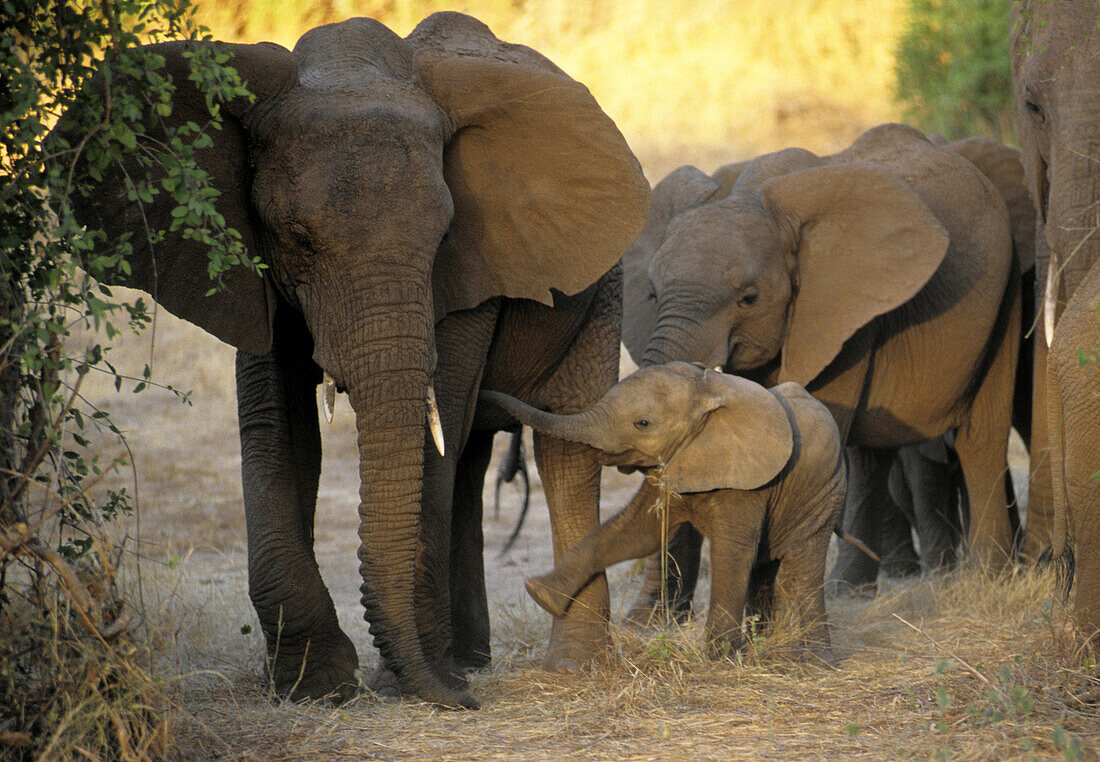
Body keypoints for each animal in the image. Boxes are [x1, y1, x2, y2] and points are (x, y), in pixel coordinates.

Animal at [55, 10, 646, 708]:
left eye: (441, 236)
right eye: (298, 239)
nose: (466, 704)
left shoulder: (468, 270)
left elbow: (435, 425)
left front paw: (414, 679)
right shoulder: (251, 268)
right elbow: (279, 432)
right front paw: (315, 685)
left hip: (606, 285)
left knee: (563, 448)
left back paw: (564, 666)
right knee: (472, 456)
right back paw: (471, 659)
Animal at [481, 362, 840, 659]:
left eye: (643, 423)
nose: (485, 393)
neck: (706, 389)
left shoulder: (748, 481)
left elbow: (732, 551)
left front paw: (717, 657)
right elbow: (637, 533)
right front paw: (541, 593)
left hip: (824, 495)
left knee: (801, 569)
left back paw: (812, 657)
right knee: (765, 571)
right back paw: (764, 643)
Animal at [620, 123, 1020, 611]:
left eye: (749, 298)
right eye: (652, 294)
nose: (646, 616)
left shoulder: (840, 310)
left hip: (1006, 285)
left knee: (981, 437)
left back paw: (987, 580)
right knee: (869, 457)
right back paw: (853, 589)